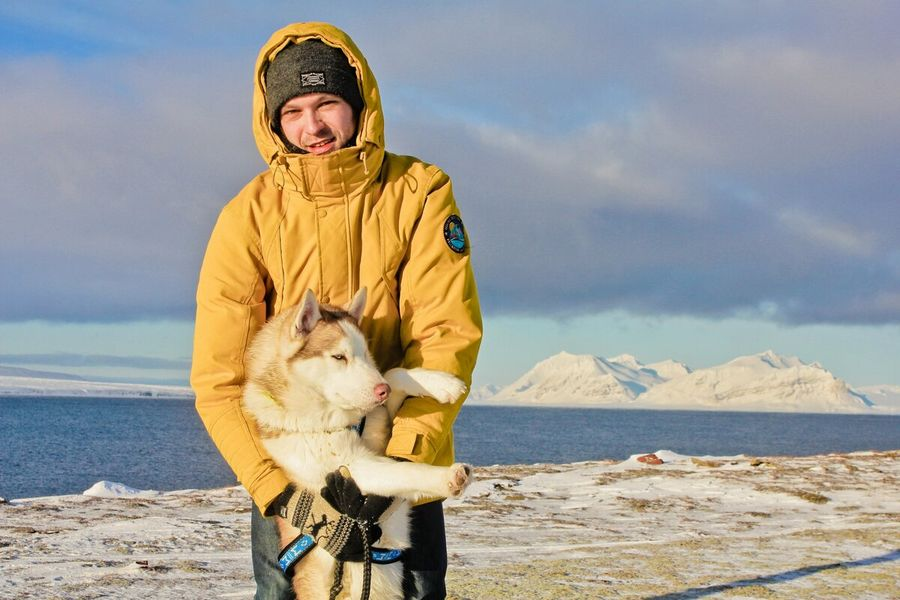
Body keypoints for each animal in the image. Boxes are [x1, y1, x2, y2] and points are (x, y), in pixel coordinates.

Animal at [243, 288, 474, 596]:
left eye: (365, 353)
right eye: (339, 356)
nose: (380, 391)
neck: (334, 419)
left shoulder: (381, 427)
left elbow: (394, 373)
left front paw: (442, 384)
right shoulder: (353, 469)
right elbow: (403, 470)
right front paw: (448, 477)